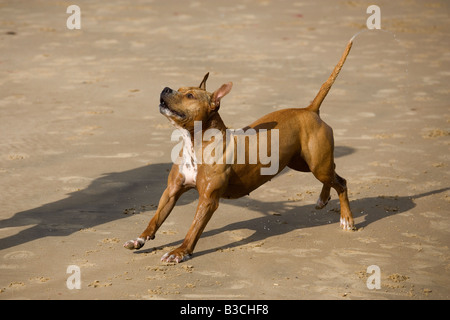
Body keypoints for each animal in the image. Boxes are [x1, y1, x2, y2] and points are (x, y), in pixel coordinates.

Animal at [123, 38, 356, 262]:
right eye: (178, 89)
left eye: (189, 96)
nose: (165, 89)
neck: (196, 143)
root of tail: (310, 110)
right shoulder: (171, 191)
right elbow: (155, 218)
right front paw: (139, 239)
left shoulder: (208, 200)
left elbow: (194, 228)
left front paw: (180, 252)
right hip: (301, 163)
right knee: (333, 174)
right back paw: (323, 199)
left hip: (316, 165)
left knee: (340, 182)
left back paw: (346, 219)